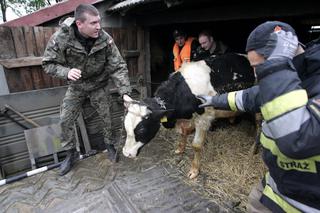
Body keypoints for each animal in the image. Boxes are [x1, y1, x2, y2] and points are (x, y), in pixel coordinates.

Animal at [122, 52, 255, 178]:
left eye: (142, 130)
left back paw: (253, 149)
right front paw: (180, 149)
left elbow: (196, 145)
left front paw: (194, 170)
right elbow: (183, 132)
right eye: (125, 126)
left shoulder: (204, 119)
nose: (126, 153)